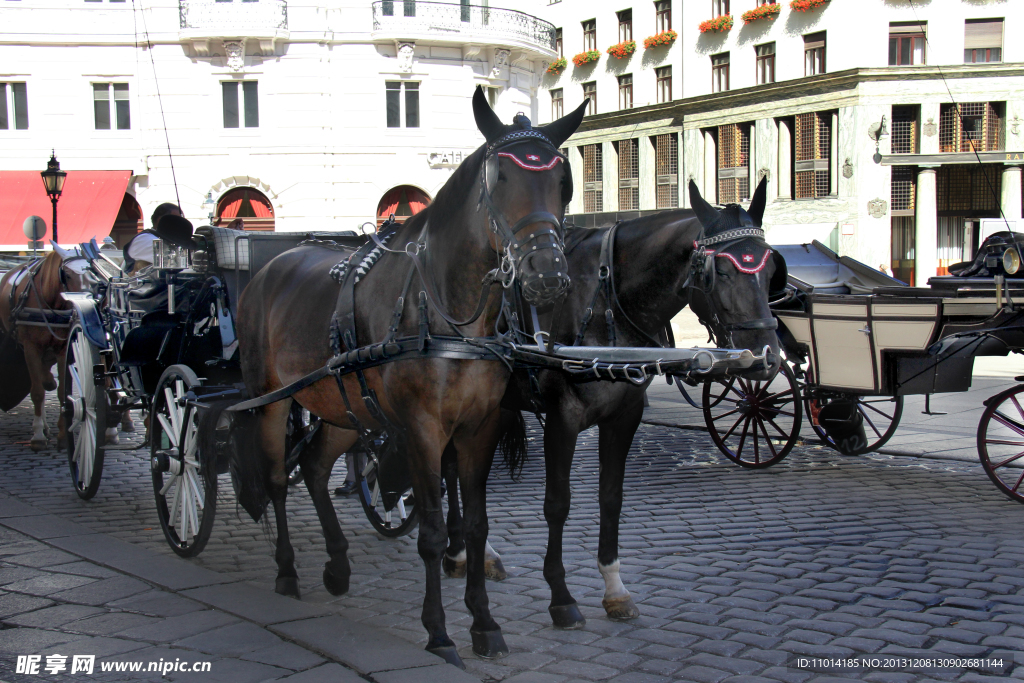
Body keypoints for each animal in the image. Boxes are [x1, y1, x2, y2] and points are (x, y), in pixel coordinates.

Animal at [0, 248, 92, 450]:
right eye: (67, 274)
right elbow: (37, 392)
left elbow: (62, 391)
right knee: (39, 384)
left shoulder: (63, 349)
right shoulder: (30, 348)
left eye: (90, 271)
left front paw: (63, 434)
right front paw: (37, 435)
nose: (85, 306)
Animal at [229, 88, 589, 671]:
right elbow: (434, 531)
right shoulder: (423, 430)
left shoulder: (481, 428)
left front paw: (484, 623)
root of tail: (271, 265)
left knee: (315, 467)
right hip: (271, 399)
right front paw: (439, 633)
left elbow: (475, 525)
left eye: (563, 179)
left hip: (344, 408)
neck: (450, 316)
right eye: (500, 178)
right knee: (280, 479)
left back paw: (337, 566)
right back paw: (287, 571)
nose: (547, 274)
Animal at [440, 178, 782, 630]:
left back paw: (474, 553)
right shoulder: (562, 419)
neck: (603, 300)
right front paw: (561, 596)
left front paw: (614, 588)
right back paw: (459, 551)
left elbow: (611, 497)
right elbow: (558, 504)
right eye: (720, 271)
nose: (768, 357)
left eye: (770, 269)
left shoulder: (625, 417)